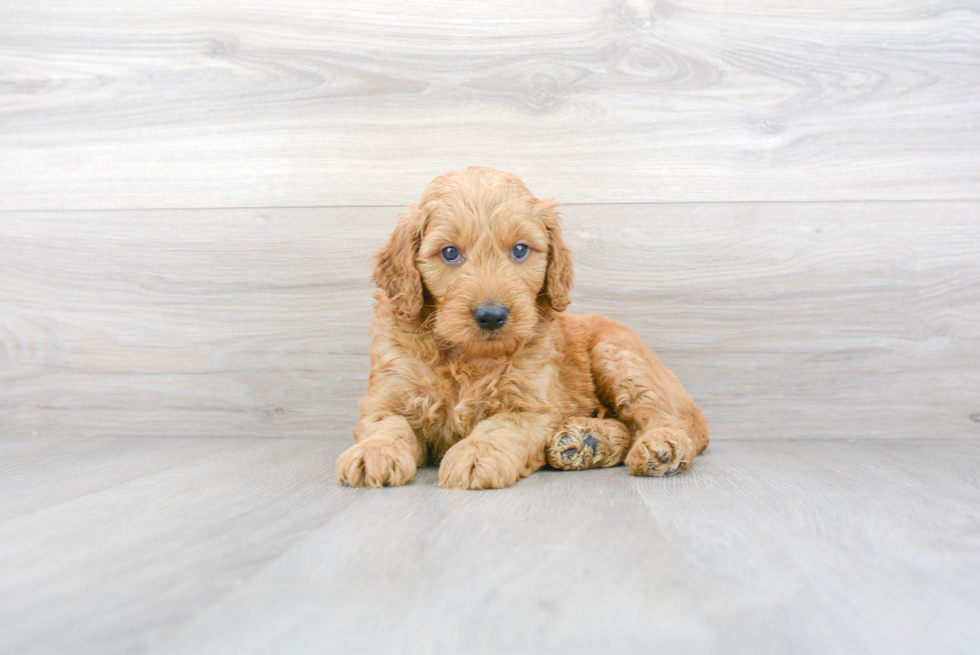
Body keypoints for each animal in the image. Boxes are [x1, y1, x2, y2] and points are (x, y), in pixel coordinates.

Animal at [334, 167, 704, 490]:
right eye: (450, 252)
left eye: (520, 250)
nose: (491, 315)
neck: (468, 357)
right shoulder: (388, 394)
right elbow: (386, 425)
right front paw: (373, 453)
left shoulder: (531, 407)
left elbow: (500, 426)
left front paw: (477, 455)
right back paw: (587, 442)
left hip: (618, 355)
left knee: (675, 418)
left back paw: (662, 446)